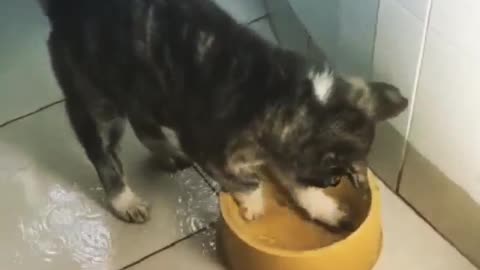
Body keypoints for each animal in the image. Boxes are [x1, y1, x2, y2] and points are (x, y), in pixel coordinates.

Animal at [39, 0, 408, 228]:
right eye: (333, 169)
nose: (334, 182)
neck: (284, 94)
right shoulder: (210, 150)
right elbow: (249, 182)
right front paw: (254, 205)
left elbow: (295, 184)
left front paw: (325, 209)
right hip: (97, 99)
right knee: (104, 156)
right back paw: (125, 201)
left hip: (141, 83)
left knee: (143, 121)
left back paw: (167, 154)